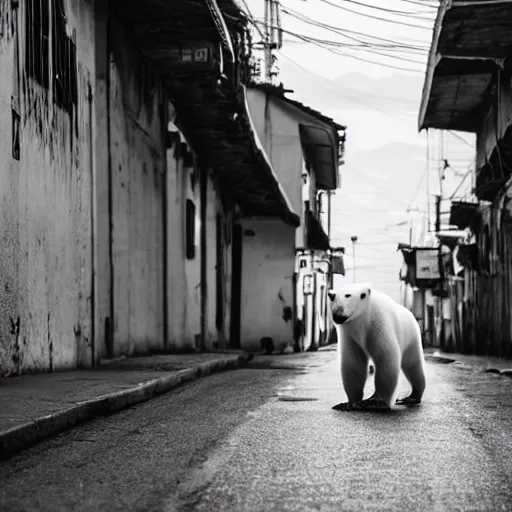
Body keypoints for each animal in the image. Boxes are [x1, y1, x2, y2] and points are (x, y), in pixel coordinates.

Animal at [330, 282, 426, 410]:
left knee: (412, 364)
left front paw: (377, 401)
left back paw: (411, 397)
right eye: (331, 297)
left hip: (410, 336)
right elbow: (353, 362)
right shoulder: (349, 333)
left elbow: (386, 357)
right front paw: (348, 403)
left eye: (348, 295)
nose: (337, 315)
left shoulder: (377, 324)